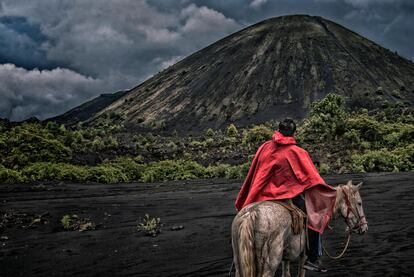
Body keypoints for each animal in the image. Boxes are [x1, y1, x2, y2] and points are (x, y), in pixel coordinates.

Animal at [231, 180, 370, 274]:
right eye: (359, 203)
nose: (364, 228)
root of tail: (252, 213)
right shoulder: (304, 256)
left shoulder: (285, 258)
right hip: (269, 264)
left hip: (240, 263)